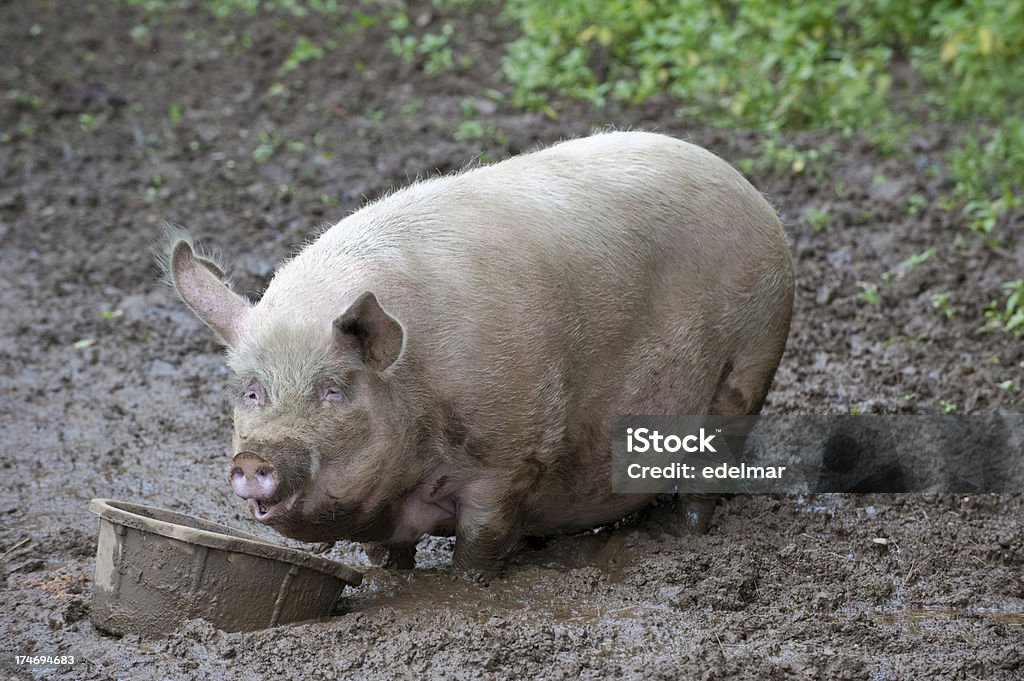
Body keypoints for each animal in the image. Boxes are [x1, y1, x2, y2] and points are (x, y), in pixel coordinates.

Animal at [163, 131, 794, 573]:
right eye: (252, 391)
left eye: (332, 390)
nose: (254, 459)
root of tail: (753, 194)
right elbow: (386, 556)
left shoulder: (512, 455)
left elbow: (480, 543)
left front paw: (469, 586)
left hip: (751, 360)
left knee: (711, 471)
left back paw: (683, 536)